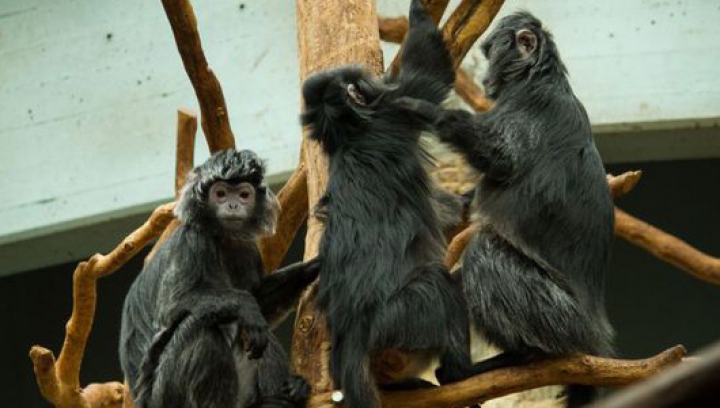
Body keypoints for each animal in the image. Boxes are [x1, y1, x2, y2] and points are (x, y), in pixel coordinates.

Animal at [119, 150, 318, 408]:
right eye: (220, 194)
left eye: (244, 195)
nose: (233, 205)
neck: (221, 238)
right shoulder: (192, 240)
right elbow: (174, 305)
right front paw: (246, 306)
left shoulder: (247, 250)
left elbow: (262, 305)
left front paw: (315, 267)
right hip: (165, 396)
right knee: (203, 328)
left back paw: (288, 393)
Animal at [298, 0, 472, 408]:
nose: (356, 83)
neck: (350, 134)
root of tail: (354, 341)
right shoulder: (392, 114)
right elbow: (428, 76)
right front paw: (418, 11)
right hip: (404, 321)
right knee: (438, 283)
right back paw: (460, 373)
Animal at [396, 11, 616, 406]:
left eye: (490, 53)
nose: (485, 78)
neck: (542, 76)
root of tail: (594, 335)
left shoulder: (533, 102)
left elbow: (502, 159)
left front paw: (420, 108)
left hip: (558, 317)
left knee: (483, 253)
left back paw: (513, 358)